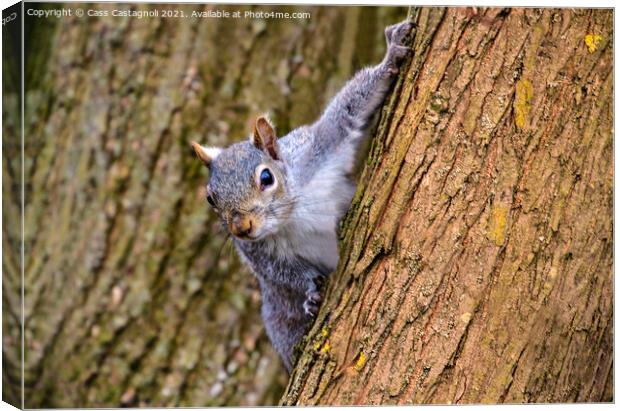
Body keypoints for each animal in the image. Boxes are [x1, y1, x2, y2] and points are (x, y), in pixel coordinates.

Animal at [191, 20, 414, 374]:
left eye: (266, 178)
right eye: (211, 199)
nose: (241, 228)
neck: (291, 213)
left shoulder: (317, 147)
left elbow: (349, 110)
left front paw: (390, 55)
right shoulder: (257, 254)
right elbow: (283, 273)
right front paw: (310, 289)